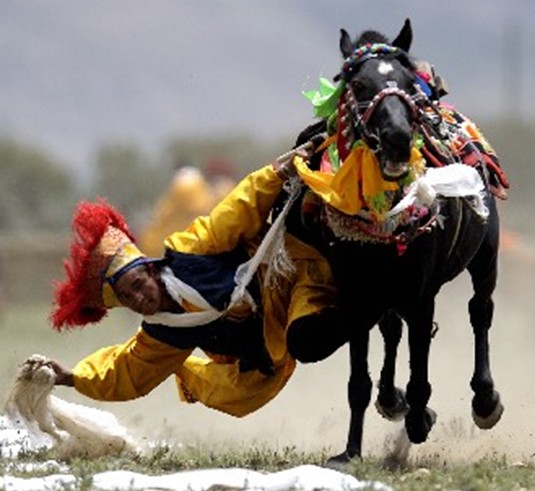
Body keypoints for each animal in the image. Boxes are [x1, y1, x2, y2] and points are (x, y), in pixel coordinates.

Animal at [280, 18, 508, 463]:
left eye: (405, 82)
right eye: (358, 84)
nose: (399, 137)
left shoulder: (421, 293)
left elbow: (421, 365)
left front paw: (419, 419)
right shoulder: (355, 292)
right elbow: (359, 380)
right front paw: (351, 449)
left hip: (485, 255)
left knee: (480, 312)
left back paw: (484, 400)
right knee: (391, 332)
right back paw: (392, 401)